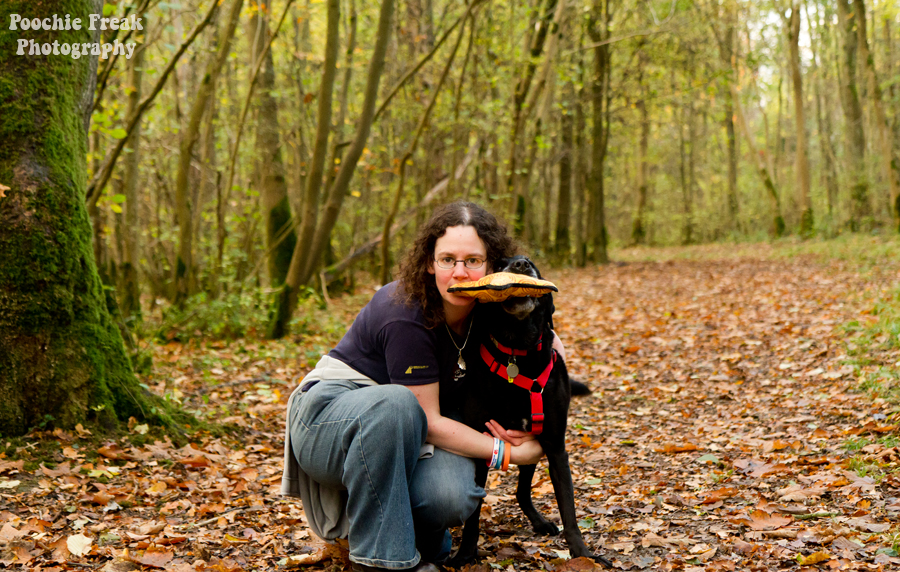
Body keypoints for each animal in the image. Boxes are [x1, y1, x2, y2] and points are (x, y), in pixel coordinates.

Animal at [450, 258, 612, 568]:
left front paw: (583, 554)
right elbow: (473, 515)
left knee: (522, 491)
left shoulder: (555, 447)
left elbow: (569, 510)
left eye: (531, 262)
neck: (518, 348)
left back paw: (539, 522)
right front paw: (464, 554)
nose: (521, 263)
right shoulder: (480, 447)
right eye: (500, 264)